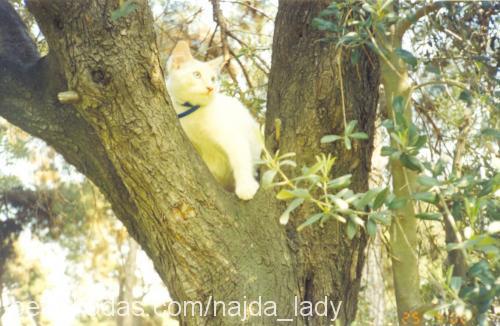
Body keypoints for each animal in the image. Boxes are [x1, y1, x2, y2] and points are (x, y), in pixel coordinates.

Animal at [167, 40, 262, 199]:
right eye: (197, 75)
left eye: (213, 79)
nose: (211, 87)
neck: (193, 112)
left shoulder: (233, 137)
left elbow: (241, 159)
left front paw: (246, 187)